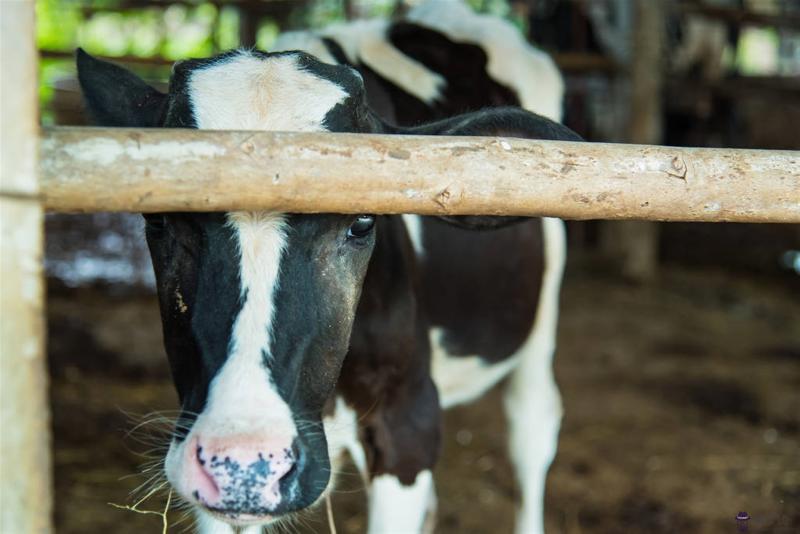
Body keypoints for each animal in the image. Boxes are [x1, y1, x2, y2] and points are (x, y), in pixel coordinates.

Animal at [76, 4, 580, 534]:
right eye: (159, 218)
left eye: (361, 222)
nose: (244, 465)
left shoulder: (408, 423)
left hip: (539, 318)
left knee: (532, 426)